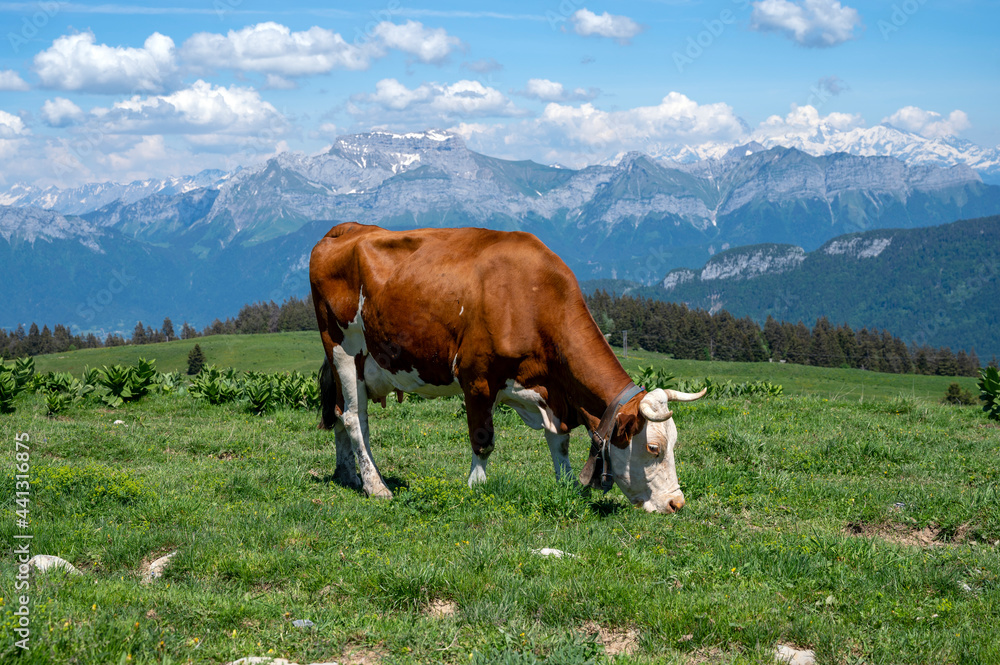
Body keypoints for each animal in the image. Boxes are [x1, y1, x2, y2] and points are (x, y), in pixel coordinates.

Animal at [308, 223, 708, 512]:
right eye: (654, 448)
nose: (677, 503)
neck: (532, 295)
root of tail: (342, 229)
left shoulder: (550, 393)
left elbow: (559, 441)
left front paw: (566, 485)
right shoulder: (477, 377)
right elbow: (483, 439)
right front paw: (476, 487)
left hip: (357, 365)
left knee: (340, 412)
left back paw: (349, 475)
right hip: (343, 349)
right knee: (354, 418)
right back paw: (377, 487)